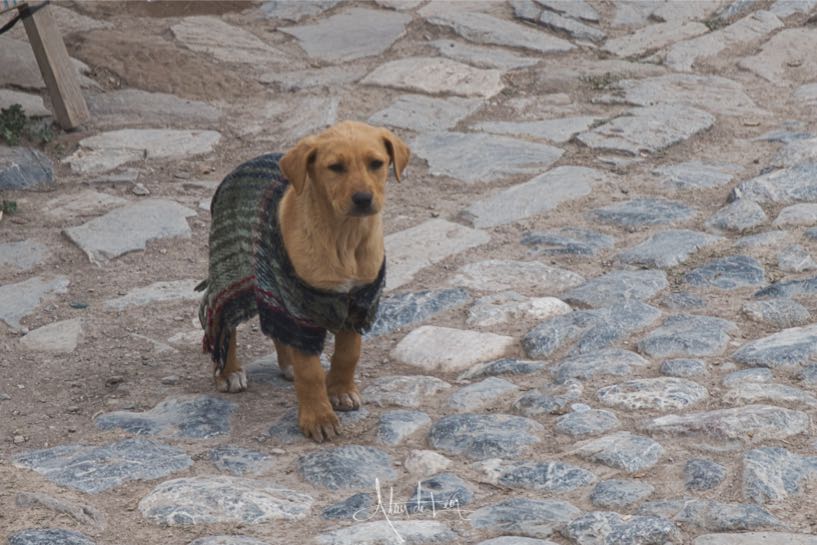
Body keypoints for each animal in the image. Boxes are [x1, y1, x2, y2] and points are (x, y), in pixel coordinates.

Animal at [197, 121, 410, 442]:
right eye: (335, 167)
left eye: (376, 163)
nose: (363, 199)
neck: (344, 237)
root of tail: (245, 164)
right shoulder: (299, 307)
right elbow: (310, 372)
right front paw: (318, 417)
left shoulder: (357, 301)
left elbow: (349, 353)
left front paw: (341, 390)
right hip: (234, 271)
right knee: (224, 319)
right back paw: (228, 371)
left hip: (272, 285)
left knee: (277, 327)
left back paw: (287, 364)